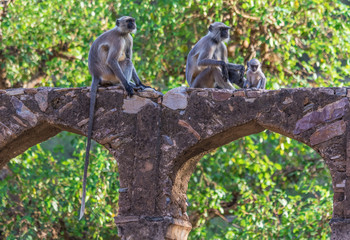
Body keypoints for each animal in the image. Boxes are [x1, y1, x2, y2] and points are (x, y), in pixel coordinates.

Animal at [79, 15, 149, 220]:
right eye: (128, 21)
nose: (133, 24)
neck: (122, 33)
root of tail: (95, 74)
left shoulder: (129, 38)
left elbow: (130, 56)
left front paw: (140, 84)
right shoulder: (119, 40)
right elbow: (115, 59)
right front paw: (129, 86)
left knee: (127, 60)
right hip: (109, 73)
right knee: (122, 62)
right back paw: (123, 85)